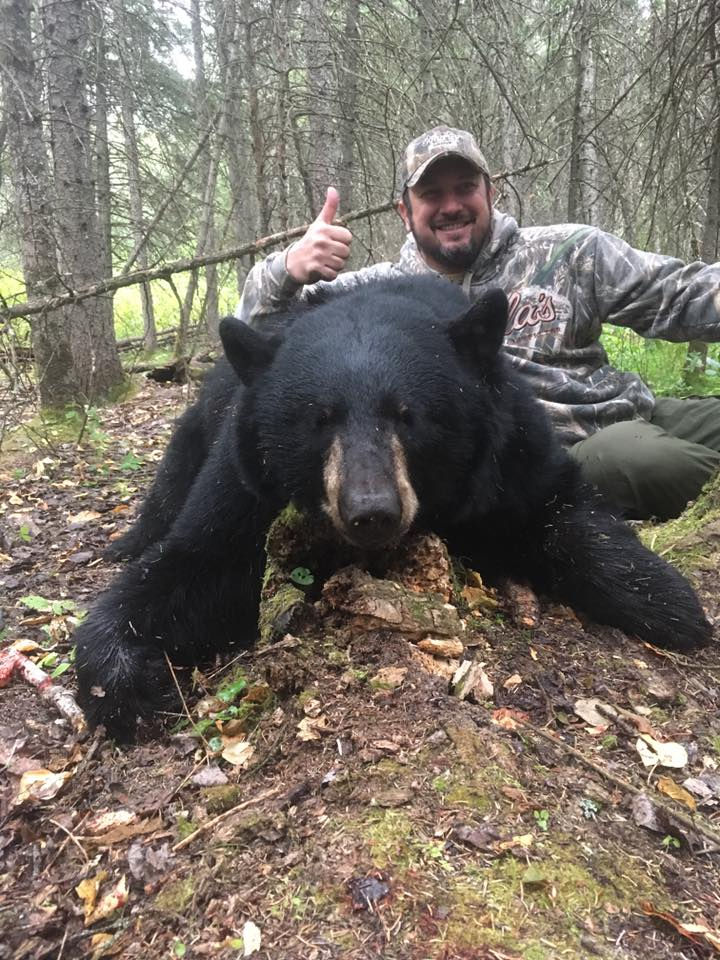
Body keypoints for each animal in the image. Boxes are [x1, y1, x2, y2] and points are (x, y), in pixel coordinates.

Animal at [74, 276, 712, 740]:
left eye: (409, 414)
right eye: (319, 418)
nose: (372, 510)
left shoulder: (506, 453)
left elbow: (562, 508)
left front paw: (671, 604)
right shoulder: (248, 481)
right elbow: (194, 563)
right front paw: (128, 683)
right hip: (202, 426)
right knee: (169, 483)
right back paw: (122, 542)